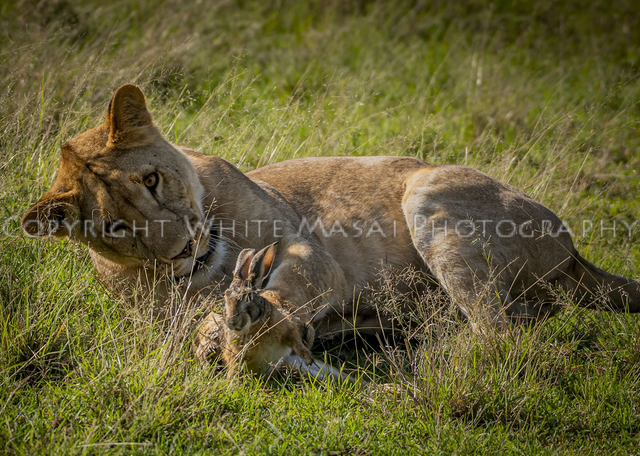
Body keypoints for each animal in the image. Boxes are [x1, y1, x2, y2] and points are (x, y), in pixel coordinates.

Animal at [22, 84, 640, 375]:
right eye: (114, 227)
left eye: (152, 180)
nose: (182, 251)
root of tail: (573, 251)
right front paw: (224, 330)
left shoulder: (313, 251)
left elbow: (291, 283)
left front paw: (249, 317)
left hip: (428, 191)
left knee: (501, 334)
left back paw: (412, 363)